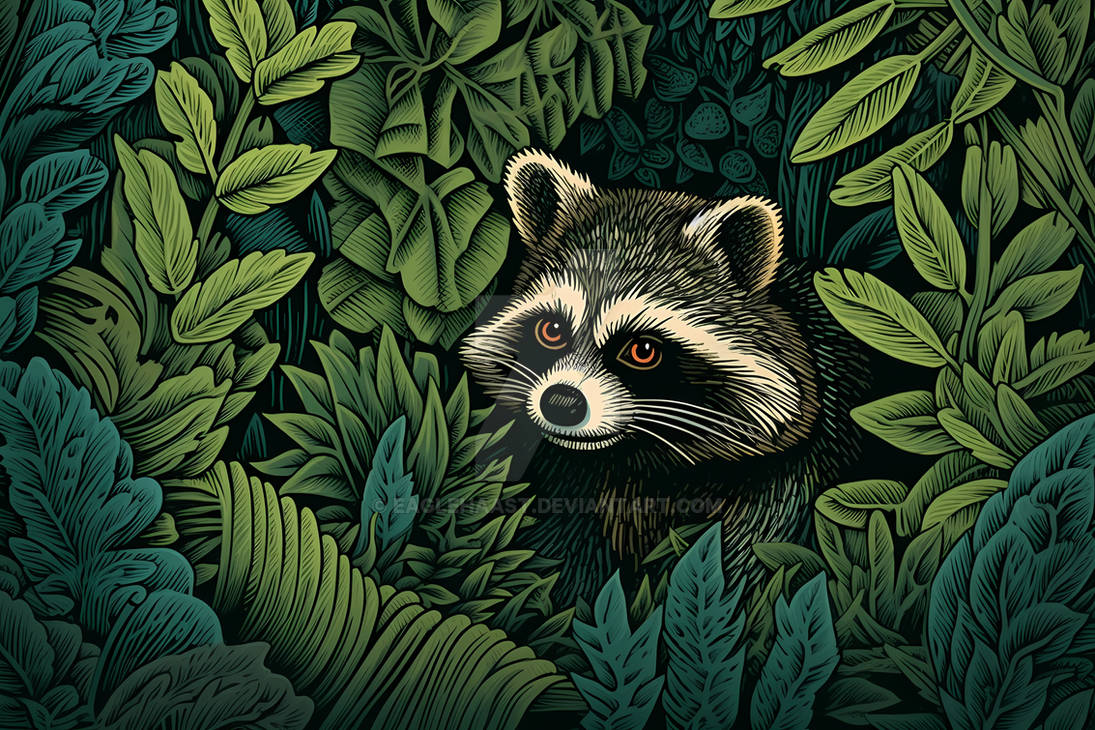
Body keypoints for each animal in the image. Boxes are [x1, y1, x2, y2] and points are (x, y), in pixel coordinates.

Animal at [460, 149, 868, 604]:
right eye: (551, 330)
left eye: (642, 350)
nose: (561, 403)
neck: (632, 462)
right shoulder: (566, 482)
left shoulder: (789, 480)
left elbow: (744, 558)